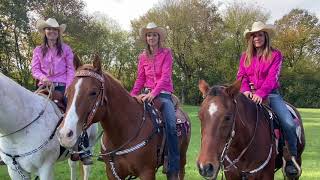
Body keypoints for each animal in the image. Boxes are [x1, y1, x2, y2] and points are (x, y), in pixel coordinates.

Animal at [58, 55, 190, 179]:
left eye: (93, 92)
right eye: (68, 91)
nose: (65, 134)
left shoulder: (147, 172)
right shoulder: (112, 172)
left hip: (181, 159)